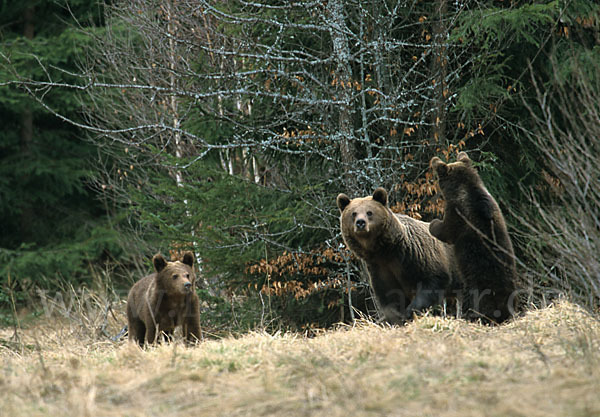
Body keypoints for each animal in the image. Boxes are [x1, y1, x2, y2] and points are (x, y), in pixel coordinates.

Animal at [336, 187, 458, 324]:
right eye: (353, 213)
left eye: (369, 212)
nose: (360, 223)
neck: (386, 250)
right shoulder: (380, 267)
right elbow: (389, 294)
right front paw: (395, 316)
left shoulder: (417, 256)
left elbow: (433, 281)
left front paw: (410, 312)